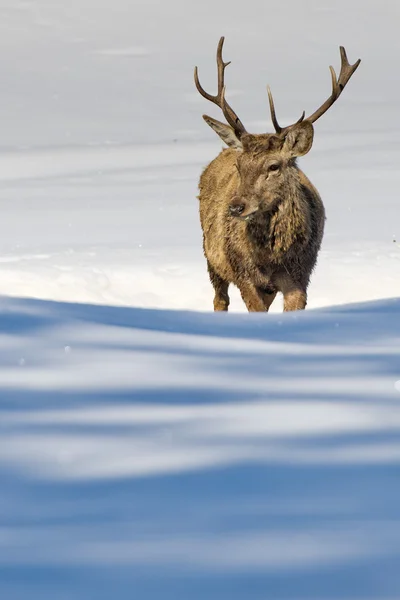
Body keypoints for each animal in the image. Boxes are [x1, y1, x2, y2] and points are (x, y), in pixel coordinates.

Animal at [194, 37, 360, 312]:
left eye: (273, 166)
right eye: (239, 165)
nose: (236, 207)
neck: (271, 259)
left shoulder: (300, 276)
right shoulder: (244, 276)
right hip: (211, 254)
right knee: (220, 299)